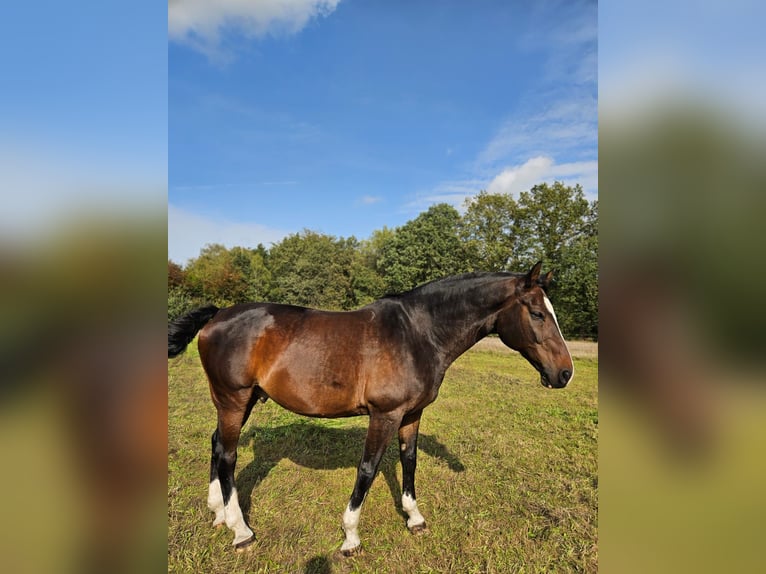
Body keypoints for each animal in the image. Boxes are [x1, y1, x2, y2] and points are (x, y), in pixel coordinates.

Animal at [167, 261, 573, 555]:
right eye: (537, 313)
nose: (565, 373)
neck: (418, 334)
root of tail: (217, 315)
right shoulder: (385, 414)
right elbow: (368, 468)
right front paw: (350, 537)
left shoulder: (411, 414)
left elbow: (409, 460)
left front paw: (414, 518)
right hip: (234, 399)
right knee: (228, 455)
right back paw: (241, 530)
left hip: (241, 400)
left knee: (217, 444)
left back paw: (218, 513)